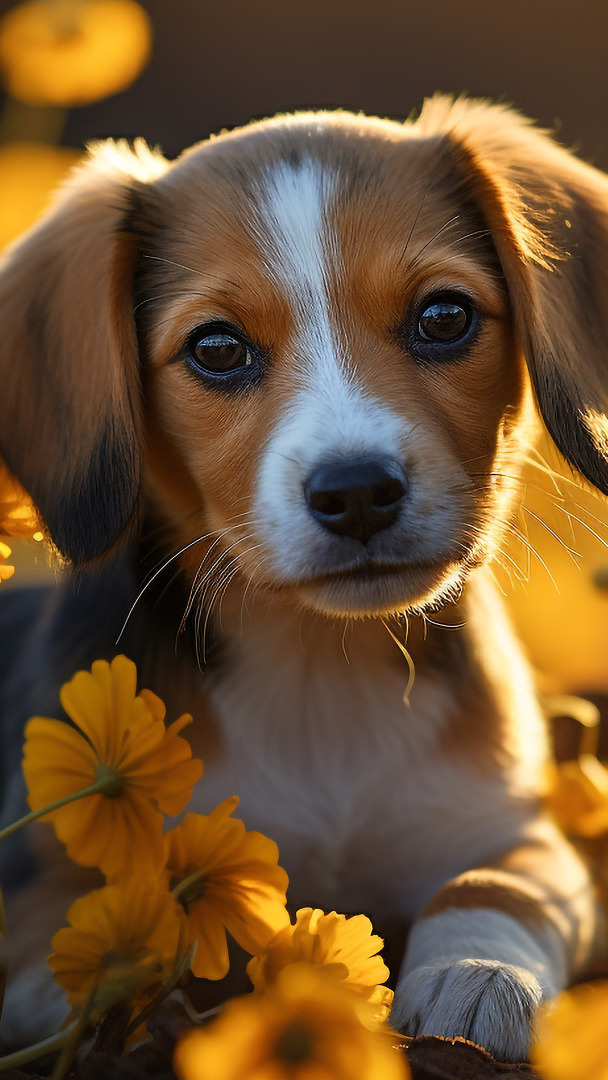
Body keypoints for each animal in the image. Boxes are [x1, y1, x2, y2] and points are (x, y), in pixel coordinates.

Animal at [1, 97, 608, 1058]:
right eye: (217, 348)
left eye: (445, 317)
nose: (356, 491)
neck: (321, 663)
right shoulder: (41, 869)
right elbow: (69, 951)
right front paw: (119, 997)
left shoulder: (513, 828)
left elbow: (496, 885)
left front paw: (478, 970)